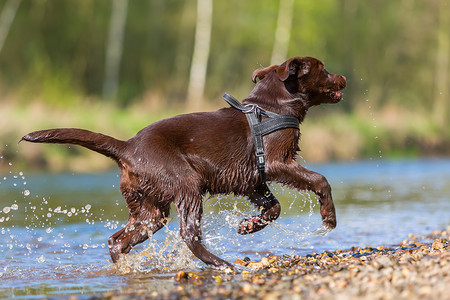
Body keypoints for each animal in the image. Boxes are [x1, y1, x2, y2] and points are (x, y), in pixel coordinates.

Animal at [20, 56, 344, 268]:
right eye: (324, 69)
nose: (344, 78)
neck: (272, 106)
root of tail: (127, 147)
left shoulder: (251, 179)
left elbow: (273, 207)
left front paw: (248, 226)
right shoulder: (277, 162)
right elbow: (319, 179)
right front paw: (329, 216)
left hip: (150, 208)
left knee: (118, 240)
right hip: (186, 185)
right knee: (188, 234)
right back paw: (221, 263)